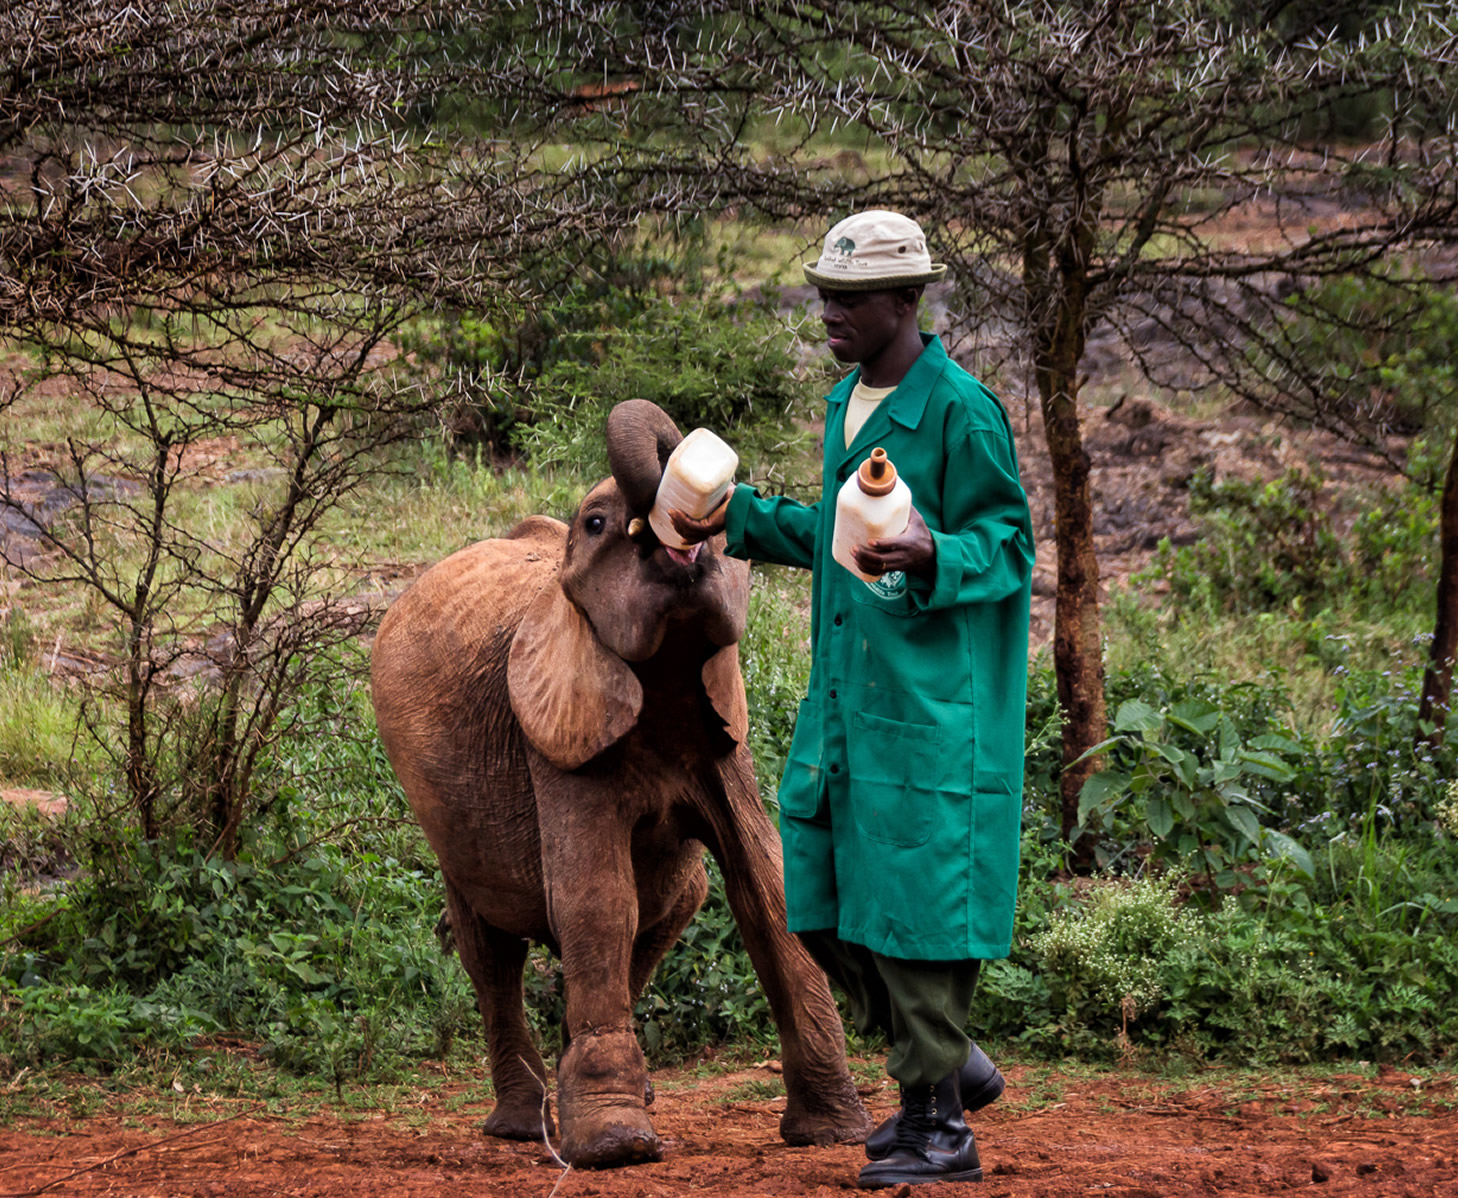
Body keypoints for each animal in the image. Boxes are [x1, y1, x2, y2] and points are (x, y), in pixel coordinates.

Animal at [370, 399, 868, 1165]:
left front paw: (837, 1134)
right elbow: (595, 899)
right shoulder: (554, 735)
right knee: (491, 948)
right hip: (453, 832)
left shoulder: (723, 738)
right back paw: (524, 1125)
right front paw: (616, 1146)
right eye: (597, 524)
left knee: (673, 906)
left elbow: (765, 884)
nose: (687, 500)